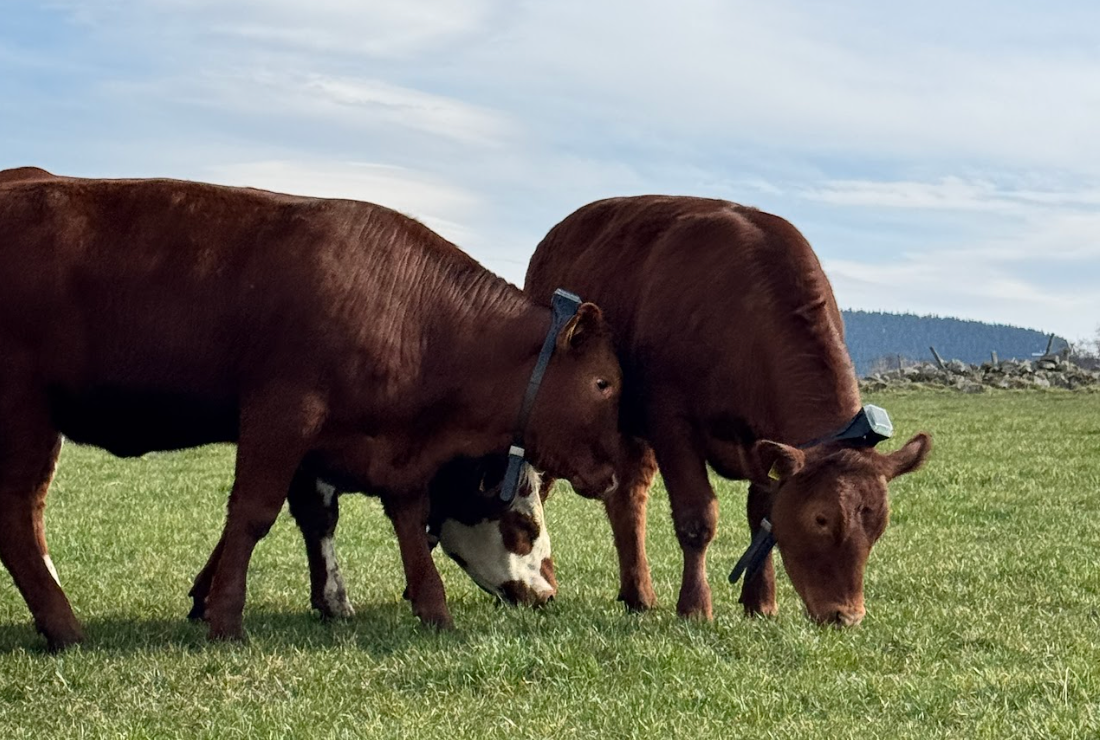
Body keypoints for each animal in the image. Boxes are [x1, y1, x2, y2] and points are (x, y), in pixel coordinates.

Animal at [0, 168, 624, 650]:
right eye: (604, 384)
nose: (547, 594)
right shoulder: (283, 412)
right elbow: (252, 514)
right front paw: (226, 620)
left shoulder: (375, 446)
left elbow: (397, 516)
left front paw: (430, 610)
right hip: (24, 413)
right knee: (18, 518)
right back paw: (65, 628)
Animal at [525, 195, 932, 626]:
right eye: (821, 518)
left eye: (879, 525)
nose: (847, 615)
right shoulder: (672, 426)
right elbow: (697, 518)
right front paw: (695, 606)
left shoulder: (764, 444)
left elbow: (761, 516)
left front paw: (761, 602)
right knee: (544, 486)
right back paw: (545, 580)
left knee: (628, 497)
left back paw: (639, 594)